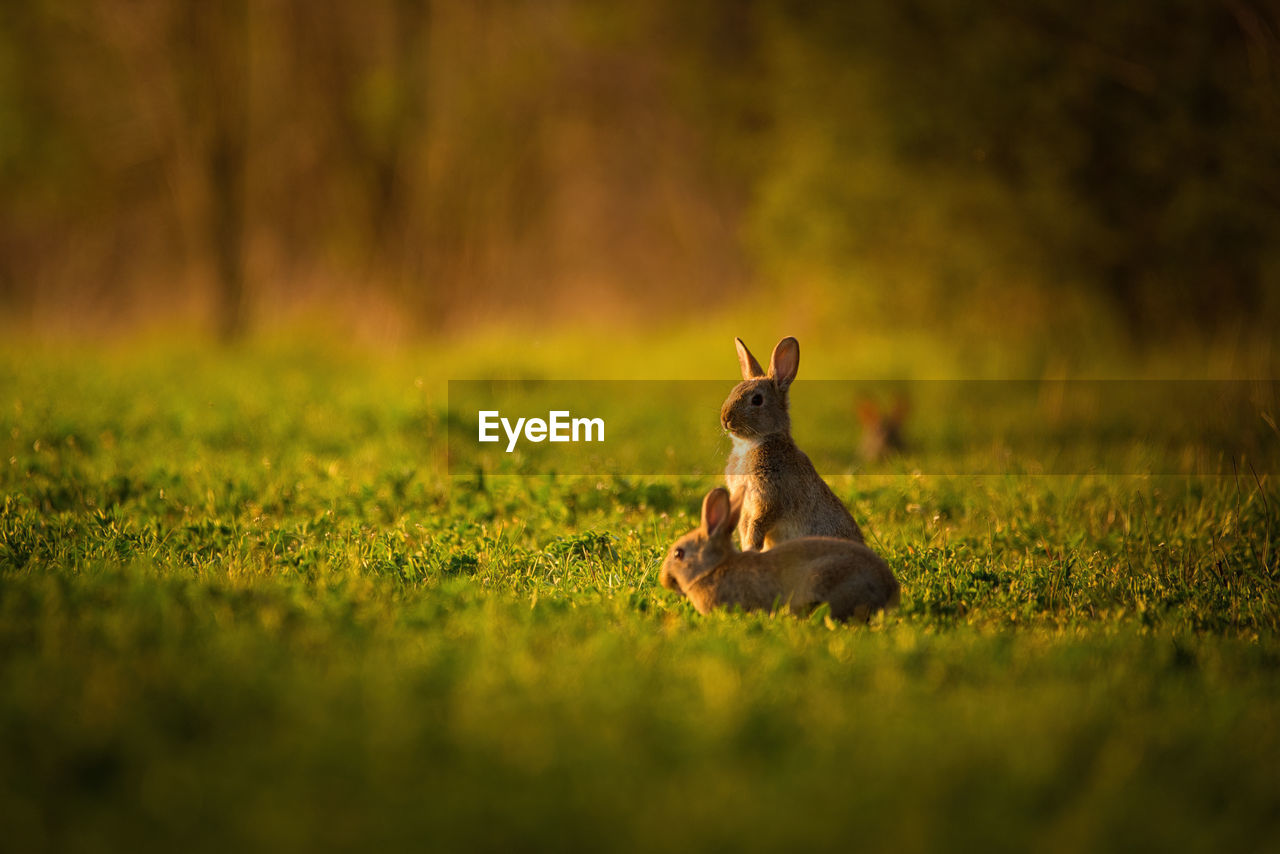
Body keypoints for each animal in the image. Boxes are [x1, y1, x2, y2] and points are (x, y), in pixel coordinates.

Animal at [727, 338, 865, 550]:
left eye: (757, 399)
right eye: (733, 391)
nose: (725, 418)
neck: (752, 444)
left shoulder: (770, 499)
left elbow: (759, 523)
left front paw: (751, 547)